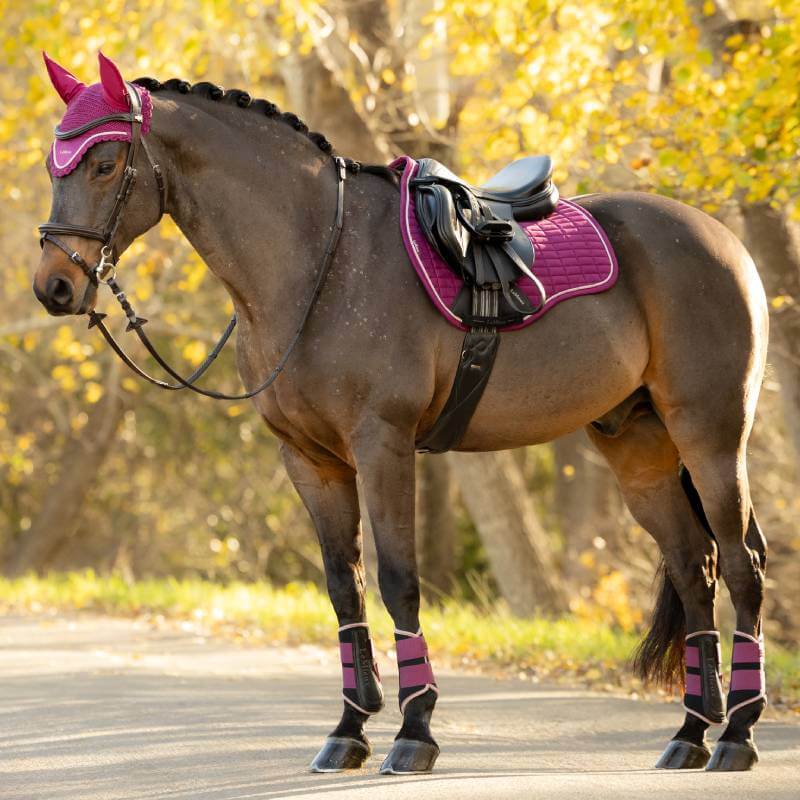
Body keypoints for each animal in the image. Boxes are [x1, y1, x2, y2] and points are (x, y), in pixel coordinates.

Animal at [33, 52, 769, 774]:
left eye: (105, 164)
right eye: (53, 165)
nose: (54, 288)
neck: (317, 261)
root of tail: (722, 240)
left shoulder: (381, 445)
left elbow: (397, 581)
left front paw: (414, 731)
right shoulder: (310, 461)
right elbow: (344, 587)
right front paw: (348, 729)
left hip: (711, 437)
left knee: (741, 566)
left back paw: (737, 734)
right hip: (639, 449)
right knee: (695, 568)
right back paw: (690, 733)